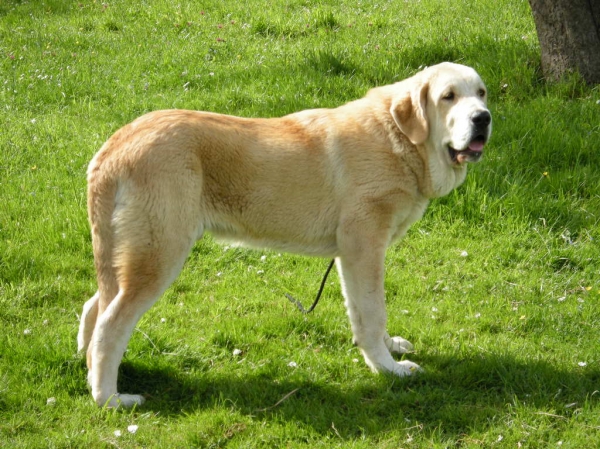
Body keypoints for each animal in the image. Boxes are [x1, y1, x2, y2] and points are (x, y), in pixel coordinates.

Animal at [78, 62, 492, 406]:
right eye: (448, 96)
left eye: (482, 93)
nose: (483, 118)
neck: (400, 141)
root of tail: (114, 146)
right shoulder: (364, 247)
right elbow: (374, 312)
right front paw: (388, 368)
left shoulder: (351, 256)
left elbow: (363, 312)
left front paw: (388, 349)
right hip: (158, 254)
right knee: (110, 326)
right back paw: (109, 398)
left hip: (129, 255)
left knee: (94, 308)